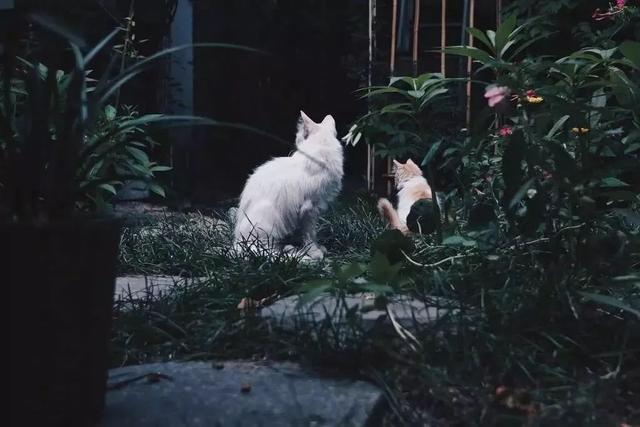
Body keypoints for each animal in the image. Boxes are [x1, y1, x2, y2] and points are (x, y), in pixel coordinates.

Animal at [233, 111, 344, 260]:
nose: (296, 142)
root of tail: (237, 244)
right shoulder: (309, 209)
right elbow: (309, 234)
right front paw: (314, 252)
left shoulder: (310, 211)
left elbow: (309, 234)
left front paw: (313, 248)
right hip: (270, 218)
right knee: (264, 249)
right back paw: (289, 252)